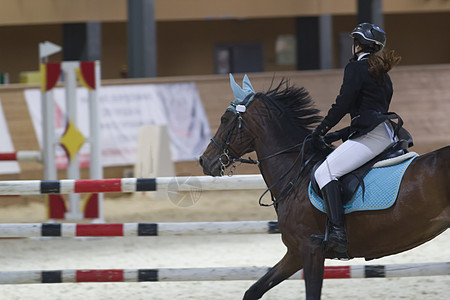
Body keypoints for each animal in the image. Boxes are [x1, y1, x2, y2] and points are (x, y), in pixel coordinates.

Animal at [199, 76, 448, 298]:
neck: (296, 174)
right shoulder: (294, 253)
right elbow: (253, 290)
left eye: (224, 119)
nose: (204, 161)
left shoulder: (311, 250)